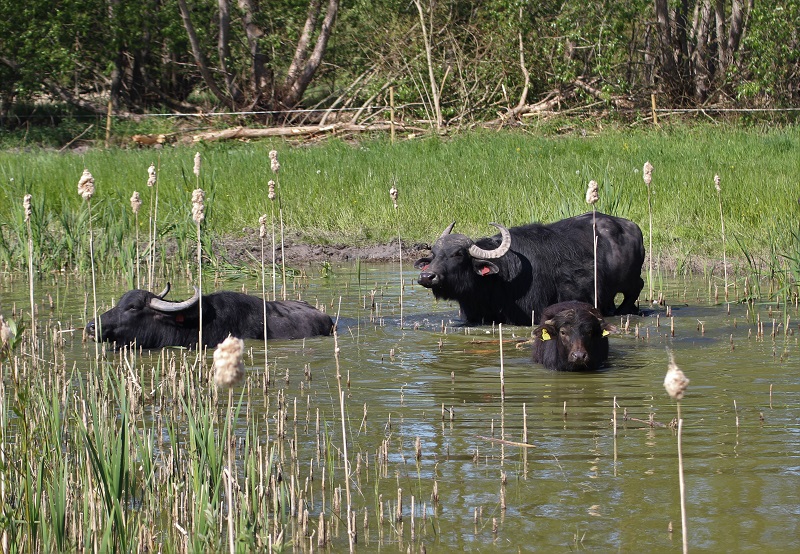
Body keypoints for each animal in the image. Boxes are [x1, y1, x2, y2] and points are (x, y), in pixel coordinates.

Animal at [412, 211, 644, 324]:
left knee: (636, 288)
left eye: (458, 254)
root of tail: (631, 227)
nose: (427, 276)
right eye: (434, 254)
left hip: (629, 281)